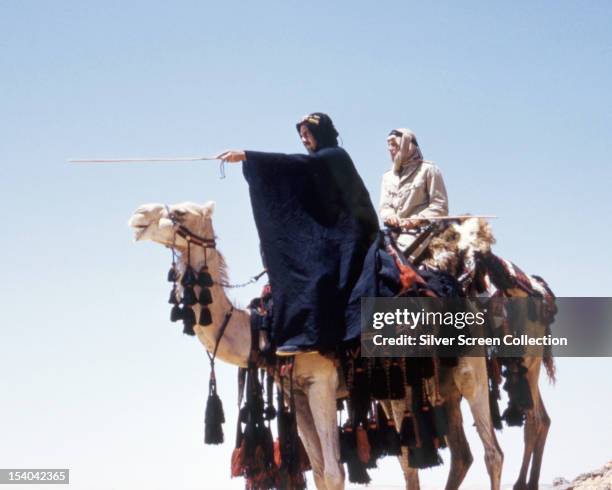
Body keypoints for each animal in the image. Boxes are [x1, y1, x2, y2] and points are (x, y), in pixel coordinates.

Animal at [128, 200, 506, 490]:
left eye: (180, 211)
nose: (138, 215)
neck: (263, 328)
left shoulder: (321, 384)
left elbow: (333, 472)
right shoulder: (295, 391)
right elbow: (322, 474)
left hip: (469, 366)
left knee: (492, 453)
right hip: (421, 383)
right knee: (440, 456)